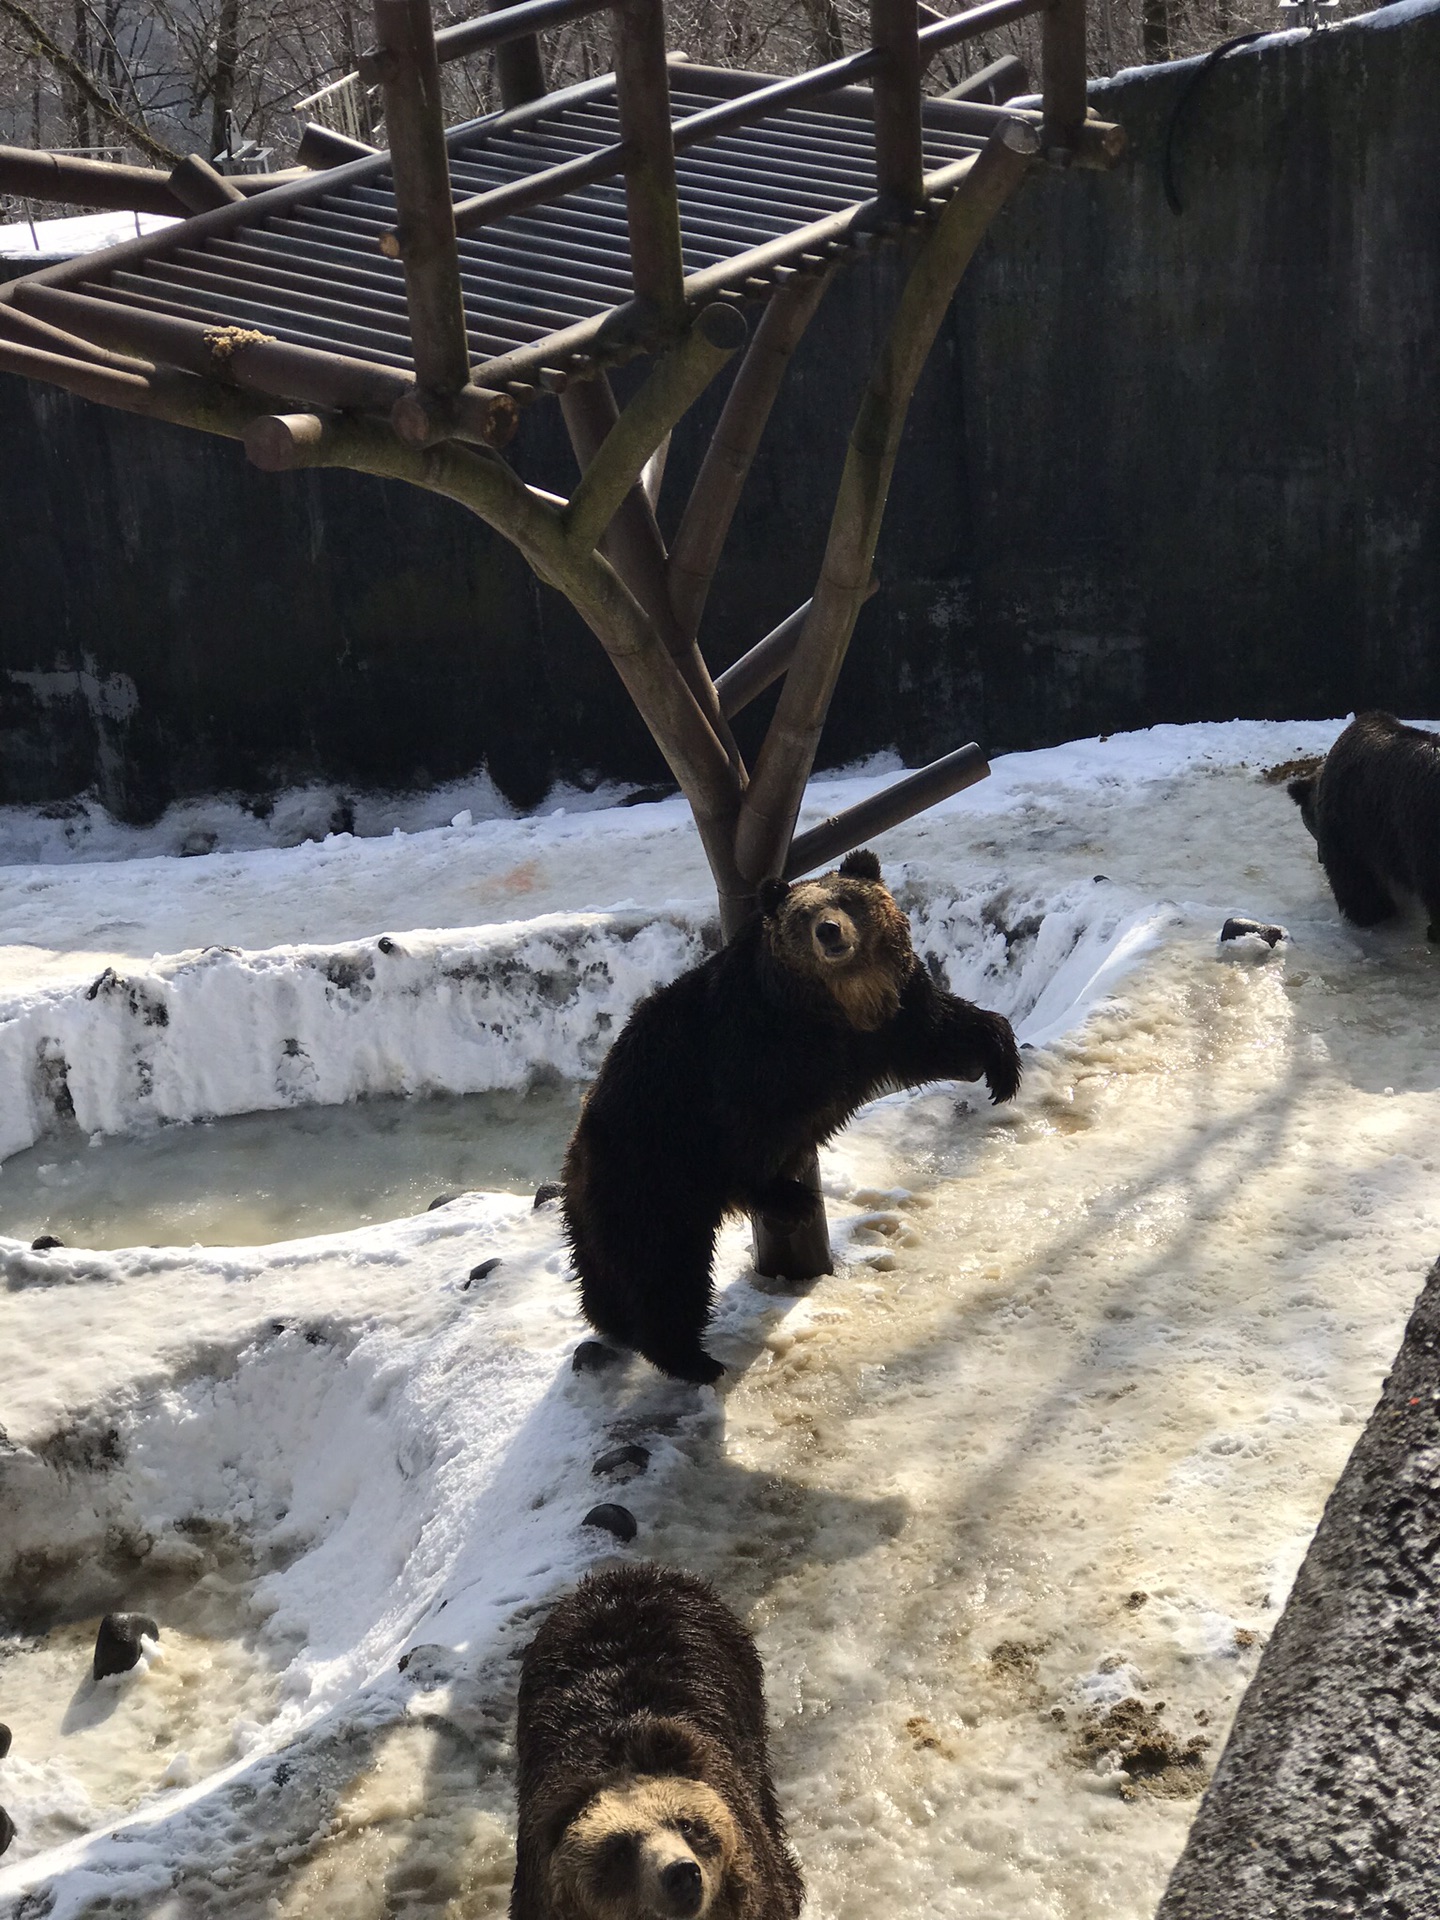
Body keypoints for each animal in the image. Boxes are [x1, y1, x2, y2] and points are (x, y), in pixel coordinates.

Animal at [564, 852, 1029, 1382]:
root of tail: (575, 1151)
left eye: (846, 898)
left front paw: (1000, 1065)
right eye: (804, 915)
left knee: (607, 1271)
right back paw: (694, 1359)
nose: (830, 931)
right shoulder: (746, 1051)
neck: (837, 1005)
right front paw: (790, 1197)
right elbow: (748, 1130)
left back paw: (614, 1323)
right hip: (652, 1172)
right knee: (664, 1268)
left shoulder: (890, 1019)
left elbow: (942, 1029)